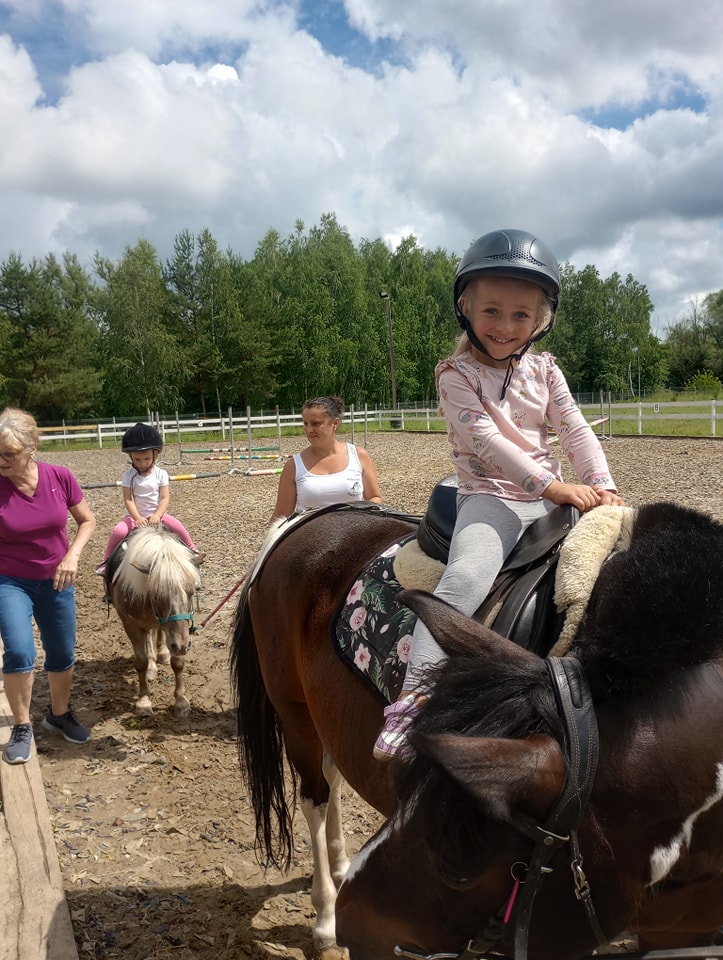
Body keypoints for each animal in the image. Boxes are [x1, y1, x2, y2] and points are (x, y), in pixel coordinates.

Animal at [109, 524, 204, 720]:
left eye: (192, 592)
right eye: (157, 596)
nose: (182, 646)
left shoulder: (178, 635)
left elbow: (178, 663)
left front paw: (181, 701)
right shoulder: (131, 625)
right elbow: (141, 662)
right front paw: (144, 701)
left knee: (157, 632)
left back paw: (161, 654)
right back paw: (153, 666)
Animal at [232, 502, 723, 960]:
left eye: (459, 870)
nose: (358, 932)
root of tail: (306, 518)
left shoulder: (681, 928)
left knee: (332, 779)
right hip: (295, 713)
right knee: (313, 797)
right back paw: (324, 918)